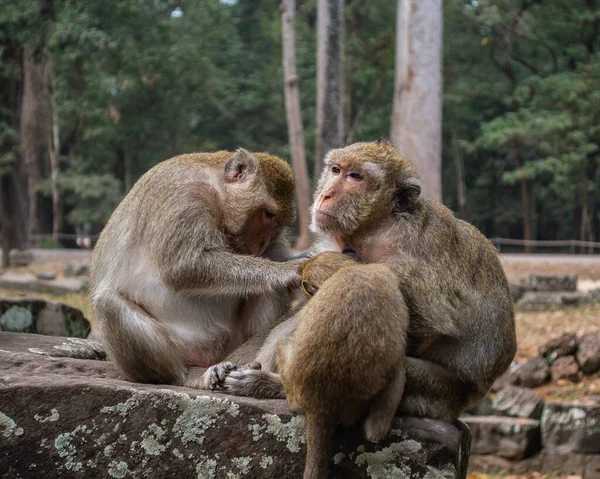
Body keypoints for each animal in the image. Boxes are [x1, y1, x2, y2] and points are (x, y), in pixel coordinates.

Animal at [89, 150, 304, 390]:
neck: (216, 190)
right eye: (268, 214)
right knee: (108, 303)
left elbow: (275, 256)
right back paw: (189, 375)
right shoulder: (183, 198)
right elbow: (183, 267)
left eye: (278, 222)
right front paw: (286, 271)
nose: (263, 242)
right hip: (182, 349)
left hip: (234, 345)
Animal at [207, 141, 516, 422]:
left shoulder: (418, 252)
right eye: (335, 170)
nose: (326, 195)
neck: (375, 229)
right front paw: (221, 368)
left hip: (440, 392)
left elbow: (428, 322)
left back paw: (273, 386)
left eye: (355, 177)